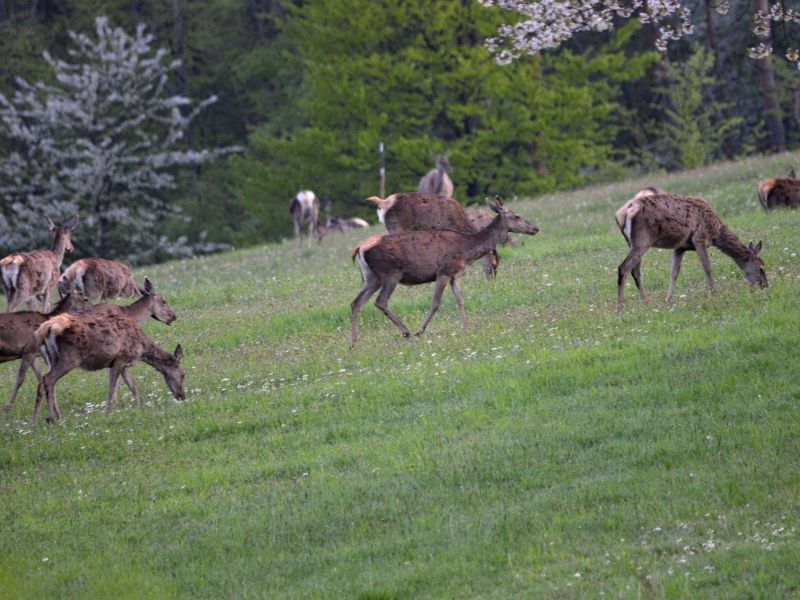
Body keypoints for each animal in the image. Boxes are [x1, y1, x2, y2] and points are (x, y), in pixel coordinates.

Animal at [33, 310, 186, 422]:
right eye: (183, 374)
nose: (182, 396)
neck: (141, 348)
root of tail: (46, 329)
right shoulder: (120, 358)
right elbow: (111, 389)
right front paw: (107, 414)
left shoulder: (122, 363)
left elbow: (133, 388)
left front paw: (138, 408)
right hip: (71, 358)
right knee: (48, 379)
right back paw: (50, 418)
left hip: (51, 358)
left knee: (46, 383)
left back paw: (44, 418)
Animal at [348, 197, 512, 346]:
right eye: (514, 216)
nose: (492, 281)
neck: (467, 248)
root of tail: (359, 249)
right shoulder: (443, 272)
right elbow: (436, 303)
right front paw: (420, 330)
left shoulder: (453, 276)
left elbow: (460, 300)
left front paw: (465, 329)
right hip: (391, 274)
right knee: (380, 301)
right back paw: (406, 331)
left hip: (371, 277)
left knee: (356, 302)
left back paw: (353, 342)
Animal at [612, 192, 768, 314]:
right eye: (761, 268)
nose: (765, 286)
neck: (715, 232)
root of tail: (621, 214)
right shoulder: (699, 238)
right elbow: (707, 268)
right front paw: (714, 293)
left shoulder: (680, 247)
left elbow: (674, 273)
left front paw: (668, 300)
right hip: (642, 239)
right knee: (624, 268)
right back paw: (620, 309)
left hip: (632, 243)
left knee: (635, 271)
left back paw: (646, 303)